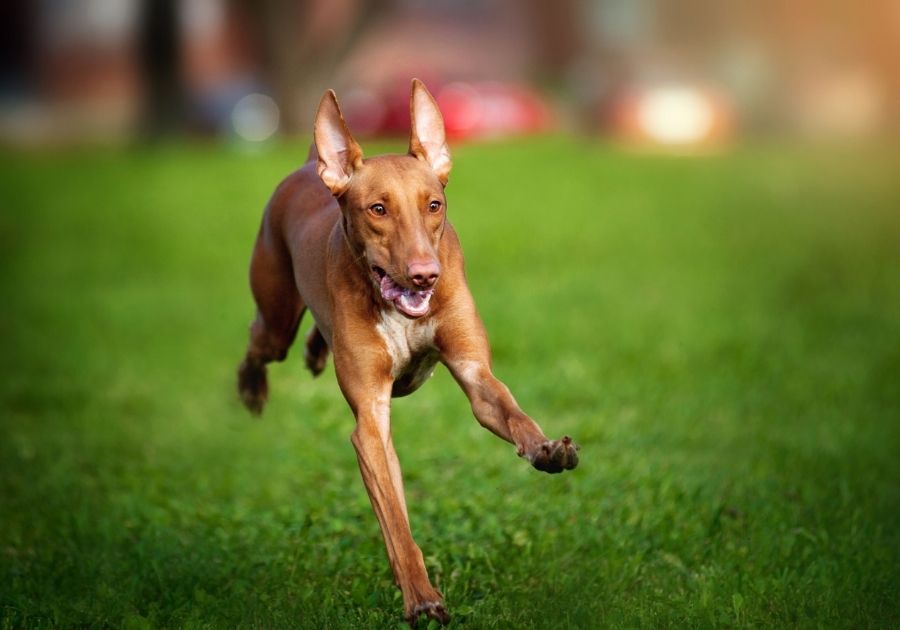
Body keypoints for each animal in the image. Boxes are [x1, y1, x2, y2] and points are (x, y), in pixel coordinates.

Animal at [236, 79, 580, 628]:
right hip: (275, 318)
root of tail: (309, 165)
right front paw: (420, 596)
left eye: (434, 205)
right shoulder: (371, 427)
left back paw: (315, 352)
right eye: (378, 209)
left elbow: (512, 414)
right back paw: (251, 387)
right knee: (259, 340)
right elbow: (396, 525)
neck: (398, 309)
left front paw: (547, 449)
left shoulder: (475, 373)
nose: (424, 276)